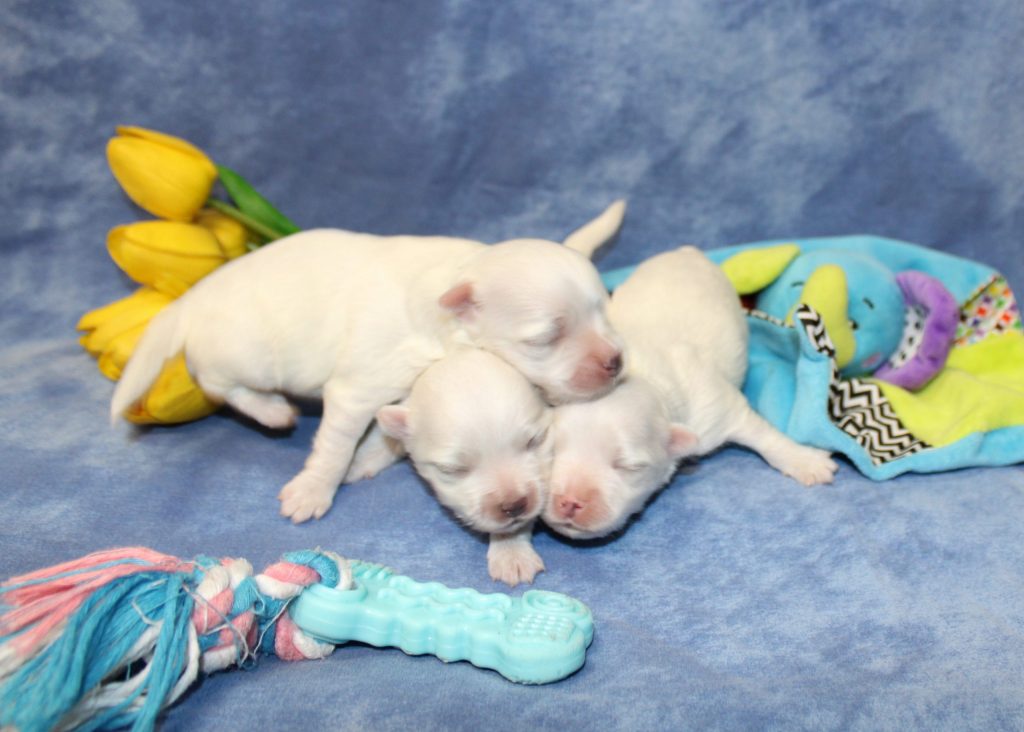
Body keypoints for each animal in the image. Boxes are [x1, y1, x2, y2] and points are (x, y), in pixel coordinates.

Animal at [111, 202, 626, 523]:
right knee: (213, 380)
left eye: (605, 311)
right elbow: (335, 446)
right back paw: (273, 411)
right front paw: (313, 492)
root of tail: (188, 300)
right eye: (546, 337)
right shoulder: (358, 388)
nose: (616, 362)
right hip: (244, 353)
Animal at [344, 348, 552, 586]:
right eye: (452, 469)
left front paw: (512, 552)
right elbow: (389, 437)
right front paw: (358, 461)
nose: (515, 505)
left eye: (534, 441)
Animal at [542, 246, 839, 540]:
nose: (570, 502)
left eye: (629, 466)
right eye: (551, 451)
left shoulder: (718, 407)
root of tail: (685, 251)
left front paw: (807, 461)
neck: (640, 374)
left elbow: (762, 434)